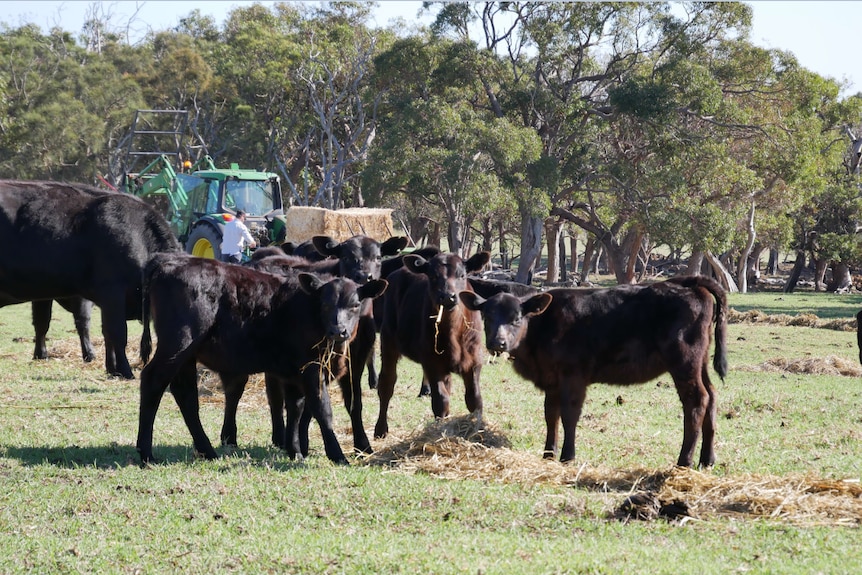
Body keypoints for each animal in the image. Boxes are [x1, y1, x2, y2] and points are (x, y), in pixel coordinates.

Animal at [137, 254, 386, 466]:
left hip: (187, 355)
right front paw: (337, 455)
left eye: (355, 305)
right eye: (324, 304)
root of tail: (169, 261)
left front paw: (294, 451)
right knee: (152, 382)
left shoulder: (293, 373)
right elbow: (322, 409)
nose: (338, 331)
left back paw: (207, 450)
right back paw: (147, 454)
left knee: (186, 395)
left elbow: (295, 409)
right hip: (177, 345)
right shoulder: (311, 369)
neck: (307, 311)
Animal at [378, 250, 492, 438]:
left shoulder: (474, 361)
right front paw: (440, 430)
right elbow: (441, 401)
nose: (447, 296)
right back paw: (380, 429)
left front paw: (475, 429)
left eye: (462, 275)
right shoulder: (432, 362)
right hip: (388, 341)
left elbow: (474, 399)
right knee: (386, 383)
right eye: (432, 276)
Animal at [460, 276, 728, 470]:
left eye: (517, 318)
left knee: (697, 401)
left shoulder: (573, 377)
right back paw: (707, 459)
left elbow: (569, 416)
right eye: (487, 316)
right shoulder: (552, 380)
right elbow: (551, 415)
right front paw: (548, 454)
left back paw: (684, 461)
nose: (497, 342)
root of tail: (689, 283)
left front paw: (567, 456)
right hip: (700, 362)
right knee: (712, 396)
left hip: (684, 362)